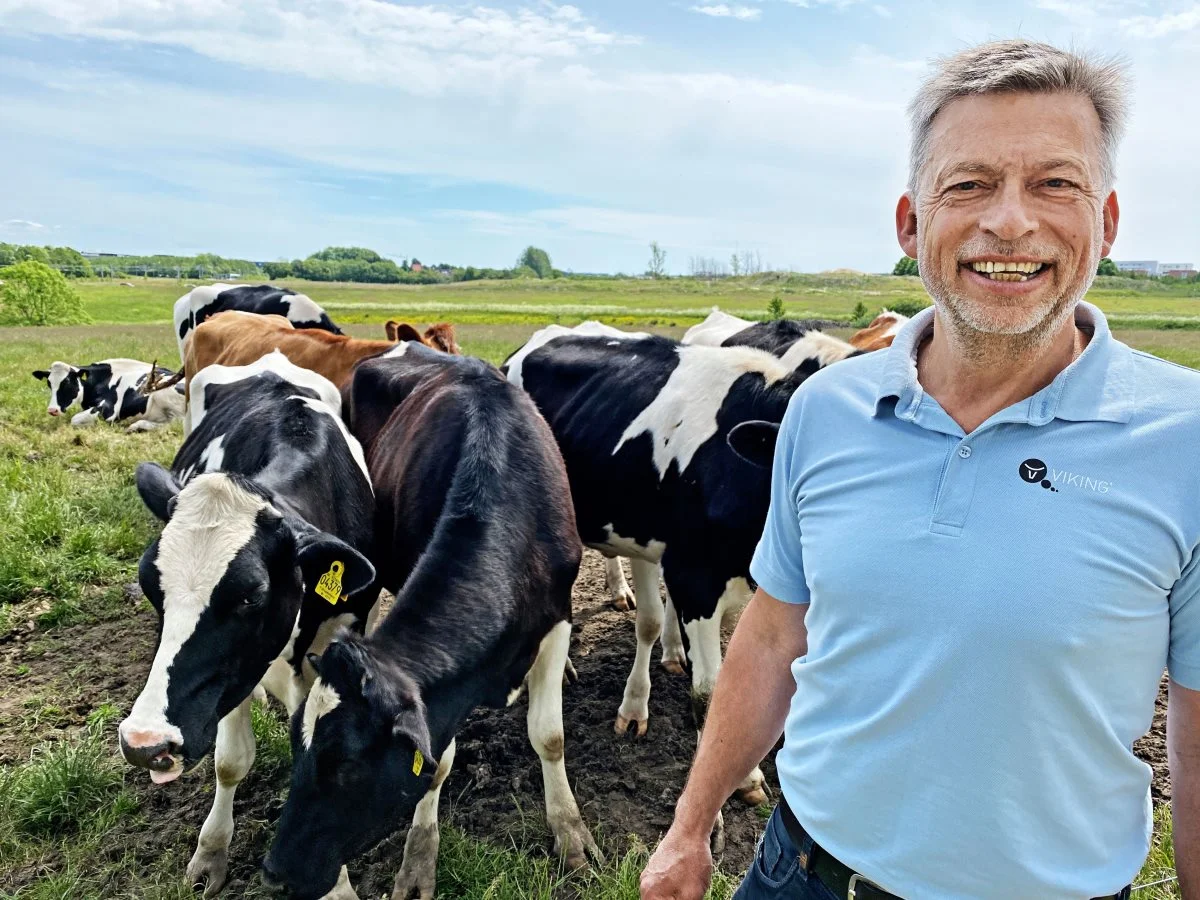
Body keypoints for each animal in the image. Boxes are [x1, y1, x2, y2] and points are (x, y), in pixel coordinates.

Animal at [31, 357, 187, 432]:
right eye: (49, 384)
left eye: (68, 383)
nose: (52, 410)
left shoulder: (109, 409)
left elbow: (74, 420)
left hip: (164, 394)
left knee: (177, 423)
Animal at [115, 350, 379, 897]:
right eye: (150, 585)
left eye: (251, 594)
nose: (145, 744)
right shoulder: (236, 674)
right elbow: (230, 760)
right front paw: (211, 852)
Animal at [265, 343, 597, 900]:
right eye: (297, 746)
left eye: (346, 763)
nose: (275, 870)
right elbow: (437, 763)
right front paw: (419, 860)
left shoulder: (557, 618)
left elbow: (549, 735)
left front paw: (572, 835)